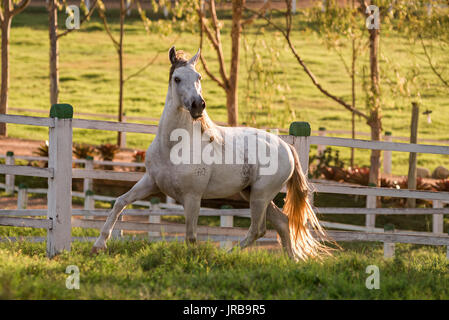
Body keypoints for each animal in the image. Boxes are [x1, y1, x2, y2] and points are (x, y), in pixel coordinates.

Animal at [92, 46, 328, 260]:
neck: (174, 145)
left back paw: (226, 255)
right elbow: (120, 202)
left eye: (199, 77)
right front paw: (99, 245)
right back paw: (292, 261)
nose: (198, 105)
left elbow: (191, 236)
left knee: (258, 229)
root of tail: (286, 147)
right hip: (252, 193)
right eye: (177, 78)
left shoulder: (192, 197)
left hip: (260, 195)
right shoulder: (151, 182)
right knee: (282, 223)